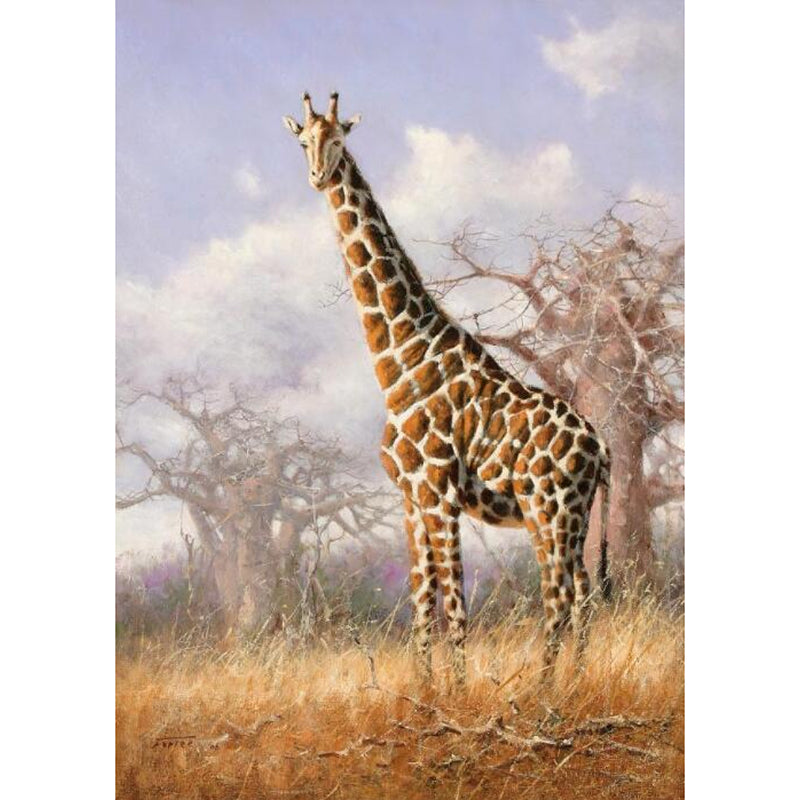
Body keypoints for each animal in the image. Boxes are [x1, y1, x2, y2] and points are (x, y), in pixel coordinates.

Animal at [283, 92, 611, 683]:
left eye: (338, 139)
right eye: (303, 142)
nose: (318, 177)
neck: (401, 363)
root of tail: (602, 447)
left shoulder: (439, 494)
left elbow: (455, 603)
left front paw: (454, 691)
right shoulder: (411, 498)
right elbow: (421, 601)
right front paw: (422, 688)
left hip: (549, 512)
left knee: (559, 597)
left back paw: (544, 689)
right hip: (572, 517)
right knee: (582, 595)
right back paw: (572, 683)